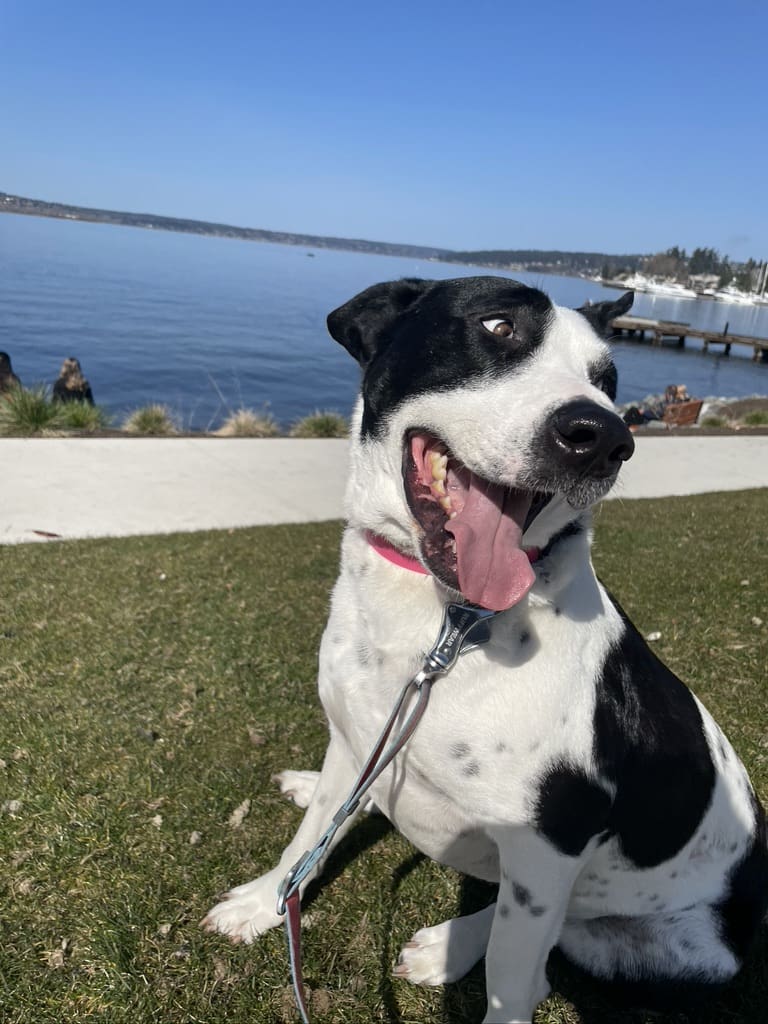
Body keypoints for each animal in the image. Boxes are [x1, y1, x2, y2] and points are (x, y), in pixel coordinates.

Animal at [205, 276, 768, 1019]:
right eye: (497, 326)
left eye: (606, 379)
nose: (602, 437)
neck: (447, 626)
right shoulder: (357, 735)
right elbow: (313, 834)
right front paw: (266, 900)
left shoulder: (549, 845)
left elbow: (511, 974)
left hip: (652, 941)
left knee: (546, 952)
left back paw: (452, 944)